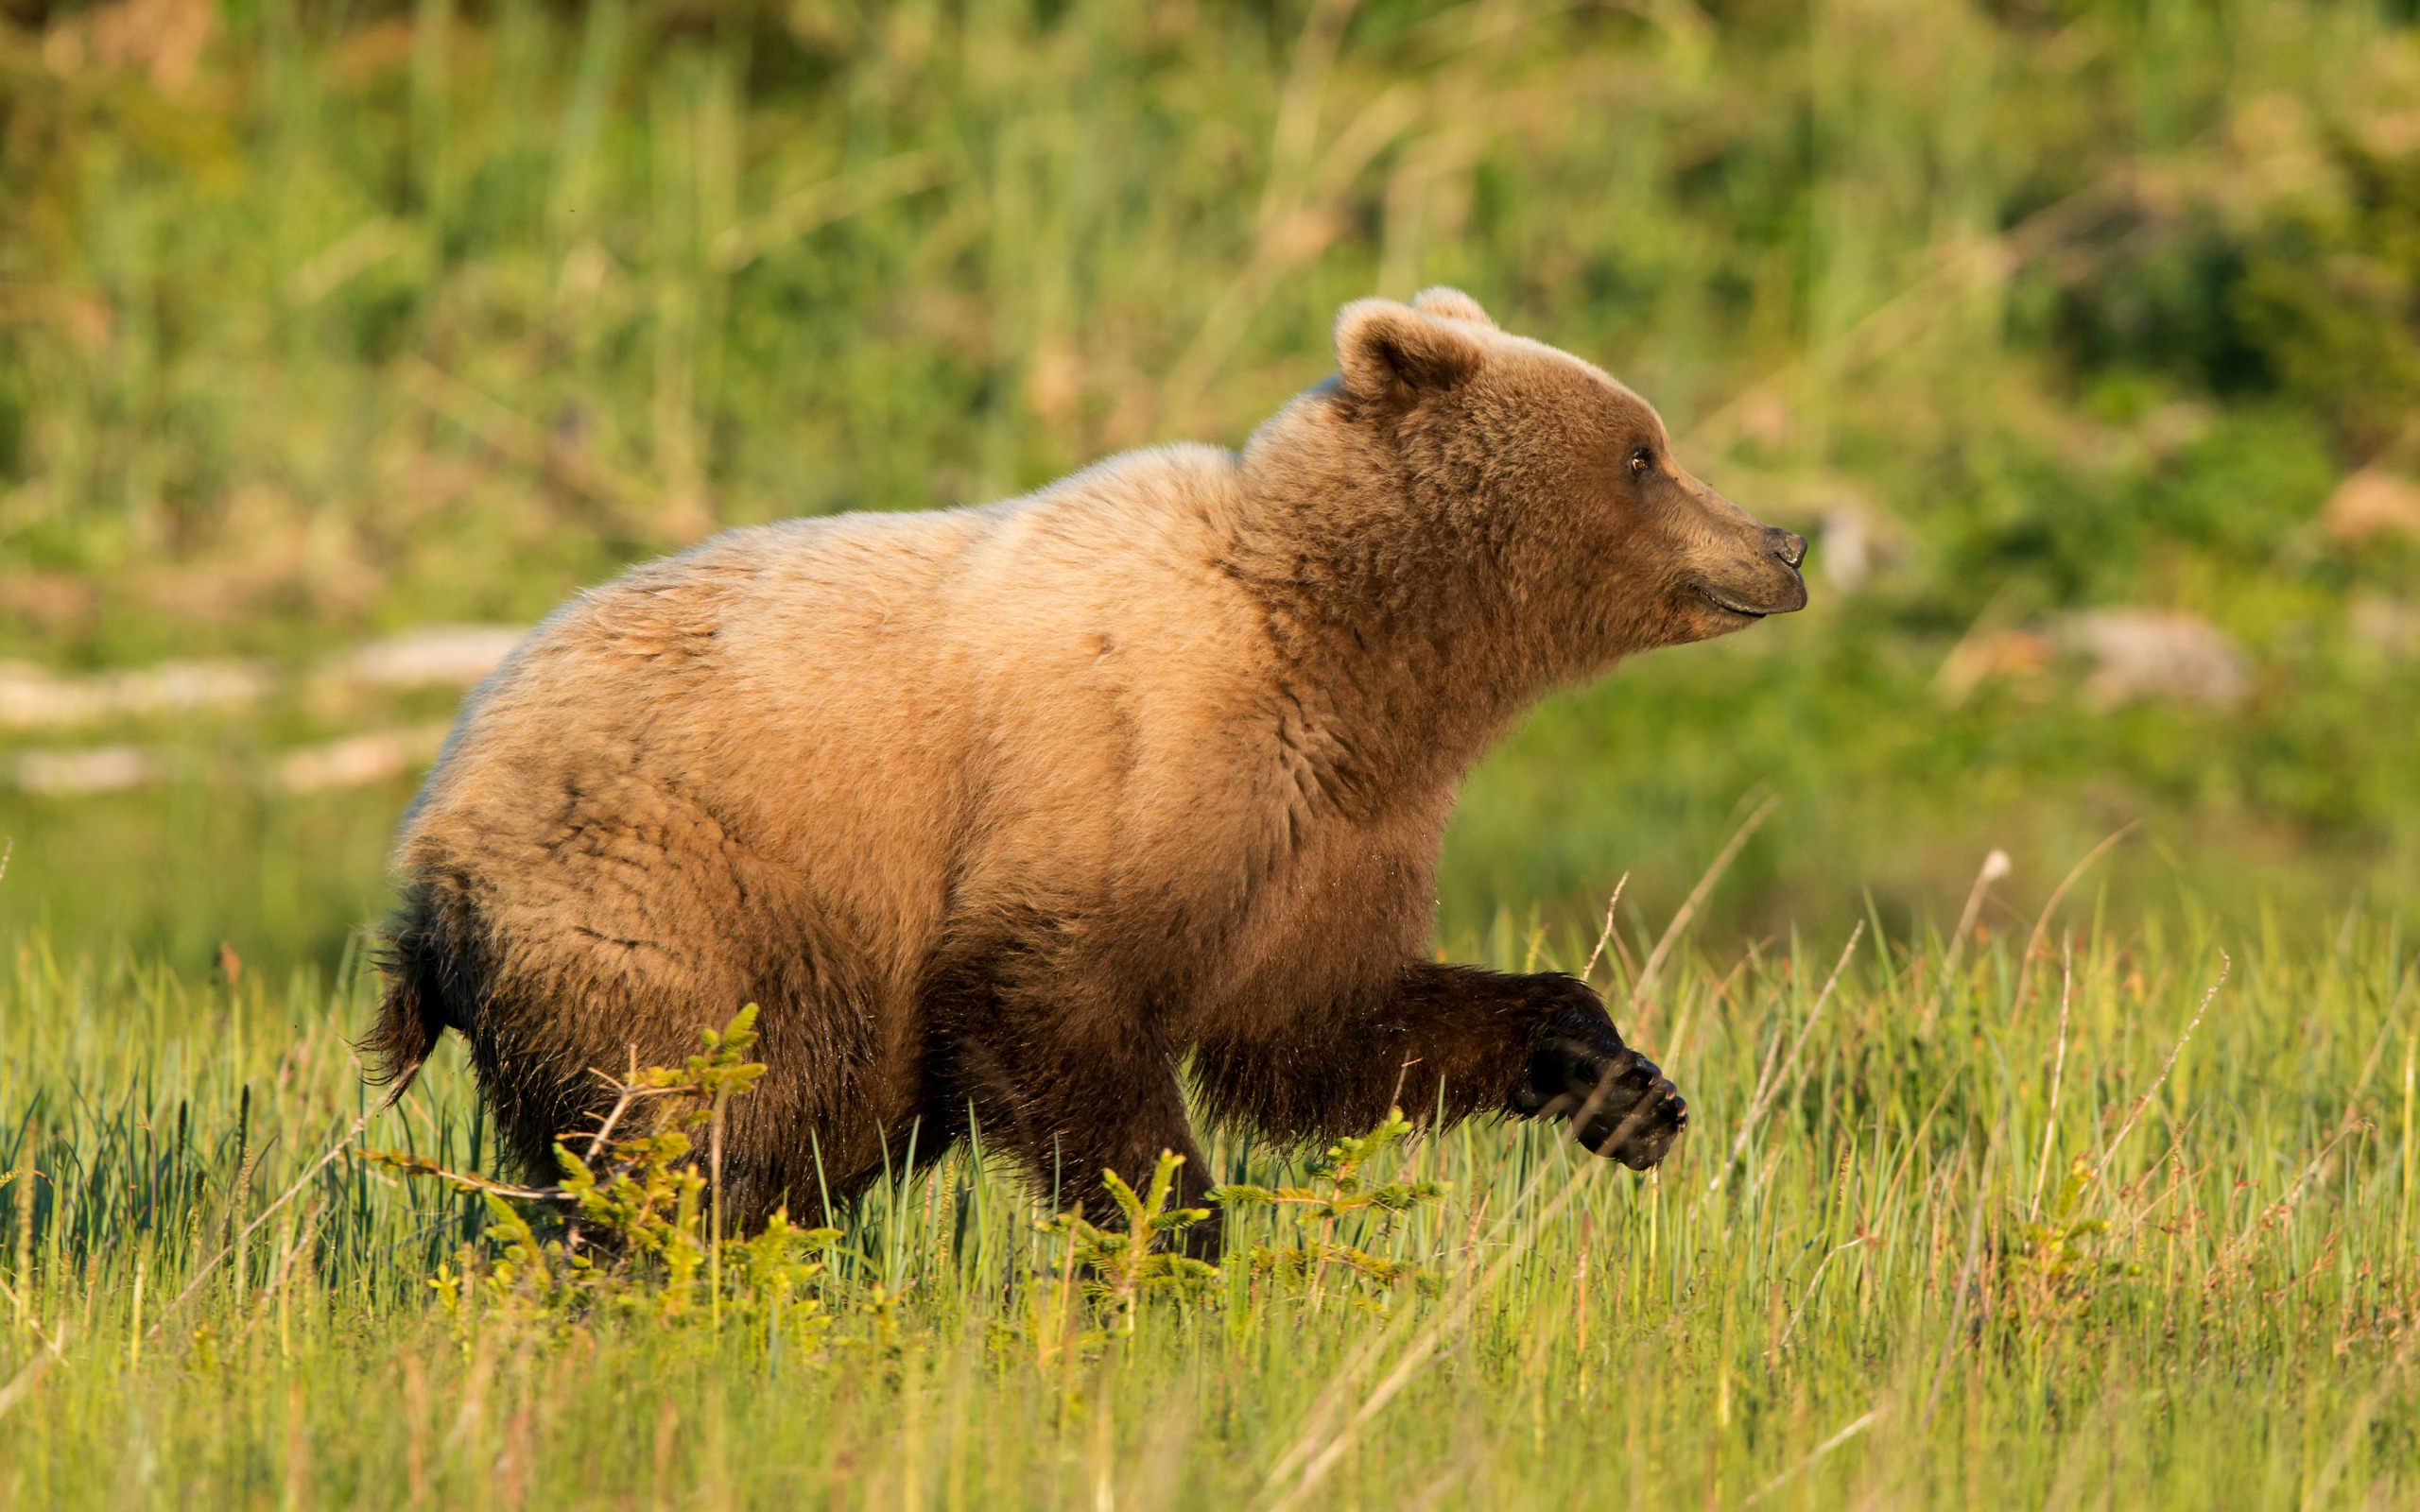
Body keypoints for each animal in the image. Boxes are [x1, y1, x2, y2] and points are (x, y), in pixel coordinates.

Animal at [357, 285, 1800, 1238]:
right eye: (1643, 453)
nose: (1782, 543)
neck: (1346, 652)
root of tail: (424, 849)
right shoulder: (1127, 761)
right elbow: (1062, 1009)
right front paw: (1175, 1237)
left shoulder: (1329, 826)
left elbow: (1326, 1023)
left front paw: (1622, 1087)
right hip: (674, 900)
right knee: (686, 1127)